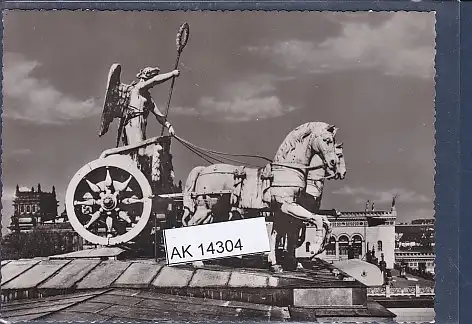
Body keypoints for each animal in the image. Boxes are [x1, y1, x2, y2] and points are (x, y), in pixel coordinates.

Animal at [181, 122, 340, 270]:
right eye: (327, 140)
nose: (333, 163)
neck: (287, 169)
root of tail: (202, 170)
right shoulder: (288, 206)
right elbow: (317, 219)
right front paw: (314, 247)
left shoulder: (280, 211)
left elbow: (279, 233)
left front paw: (275, 263)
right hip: (205, 207)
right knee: (191, 224)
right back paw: (196, 262)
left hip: (216, 209)